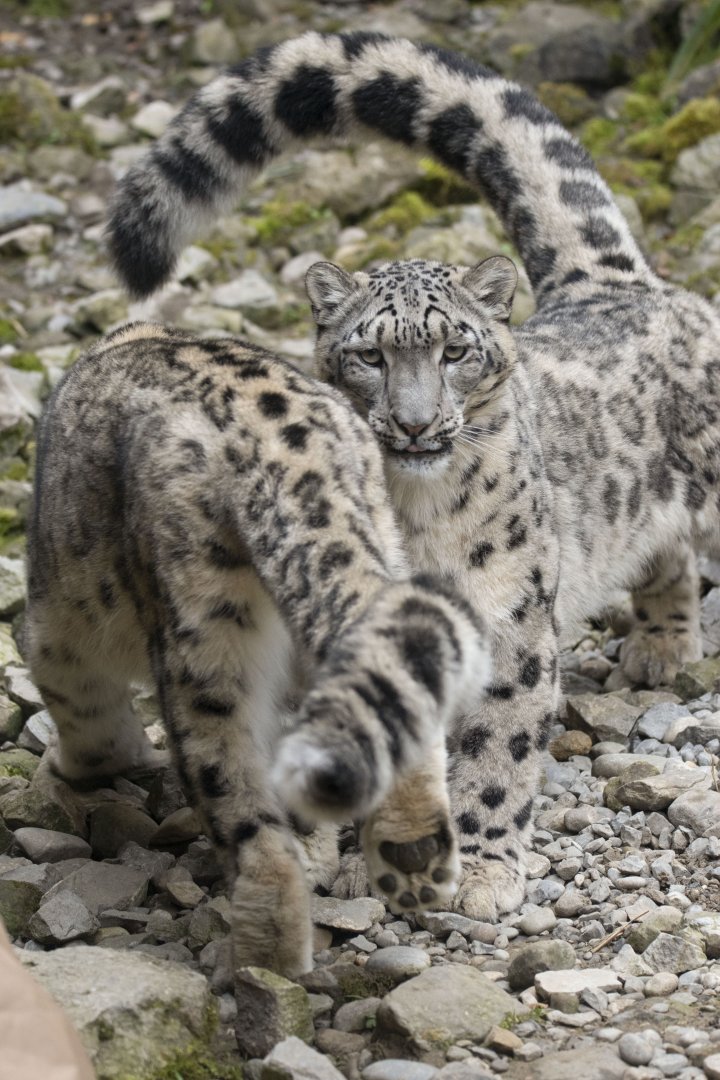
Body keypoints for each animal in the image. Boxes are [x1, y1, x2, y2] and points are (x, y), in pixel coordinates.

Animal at [25, 321, 491, 976]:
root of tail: (285, 447)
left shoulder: (58, 631)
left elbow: (87, 714)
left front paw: (75, 767)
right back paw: (412, 854)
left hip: (205, 634)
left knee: (240, 801)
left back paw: (262, 955)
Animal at [105, 31, 720, 922]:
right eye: (369, 355)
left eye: (454, 349)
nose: (417, 422)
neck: (416, 513)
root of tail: (612, 281)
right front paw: (369, 868)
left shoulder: (509, 625)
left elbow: (497, 752)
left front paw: (487, 873)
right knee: (665, 551)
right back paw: (662, 644)